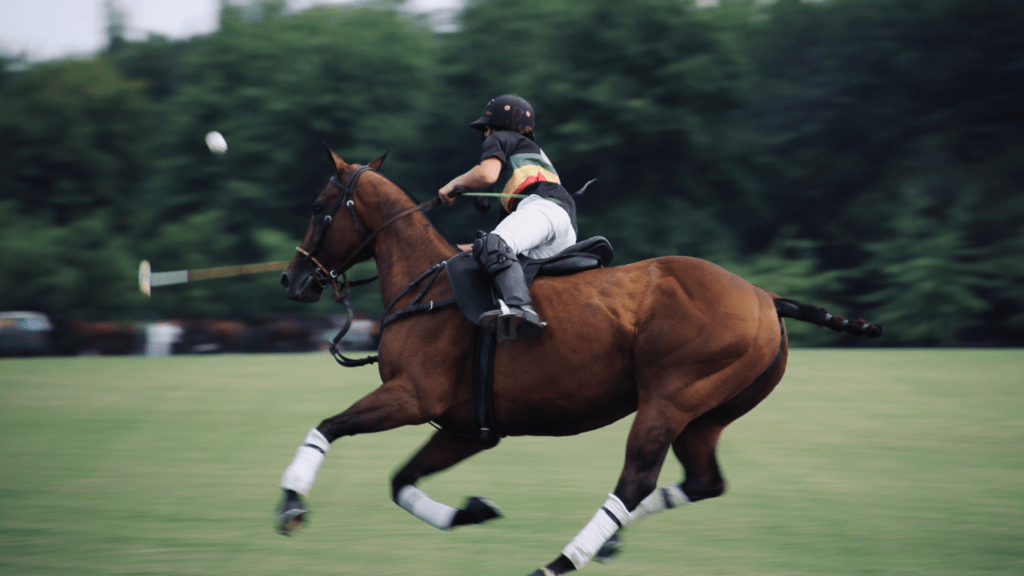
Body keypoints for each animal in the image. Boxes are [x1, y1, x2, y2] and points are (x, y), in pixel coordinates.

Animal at [278, 148, 880, 573]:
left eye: (317, 208)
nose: (292, 279)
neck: (425, 287)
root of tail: (764, 296)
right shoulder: (467, 426)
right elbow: (401, 480)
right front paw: (473, 510)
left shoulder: (412, 396)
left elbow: (327, 426)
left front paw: (290, 504)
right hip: (707, 413)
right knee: (704, 481)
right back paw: (609, 543)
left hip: (669, 398)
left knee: (635, 481)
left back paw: (558, 563)